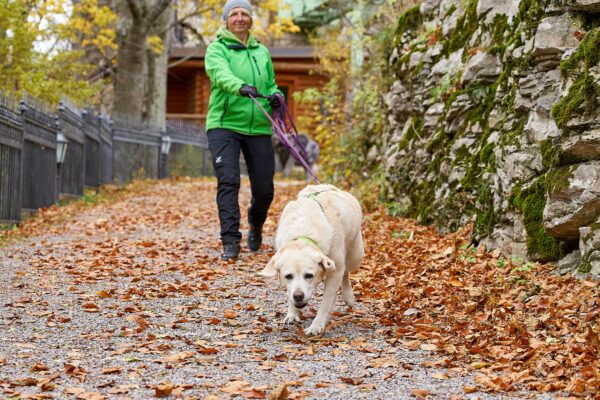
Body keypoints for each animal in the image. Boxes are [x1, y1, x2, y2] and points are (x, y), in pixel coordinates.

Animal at [260, 184, 364, 334]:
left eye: (309, 275)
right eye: (288, 276)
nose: (298, 296)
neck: (303, 233)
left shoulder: (334, 272)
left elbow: (325, 304)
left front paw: (316, 326)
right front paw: (292, 314)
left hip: (355, 255)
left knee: (345, 271)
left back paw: (348, 296)